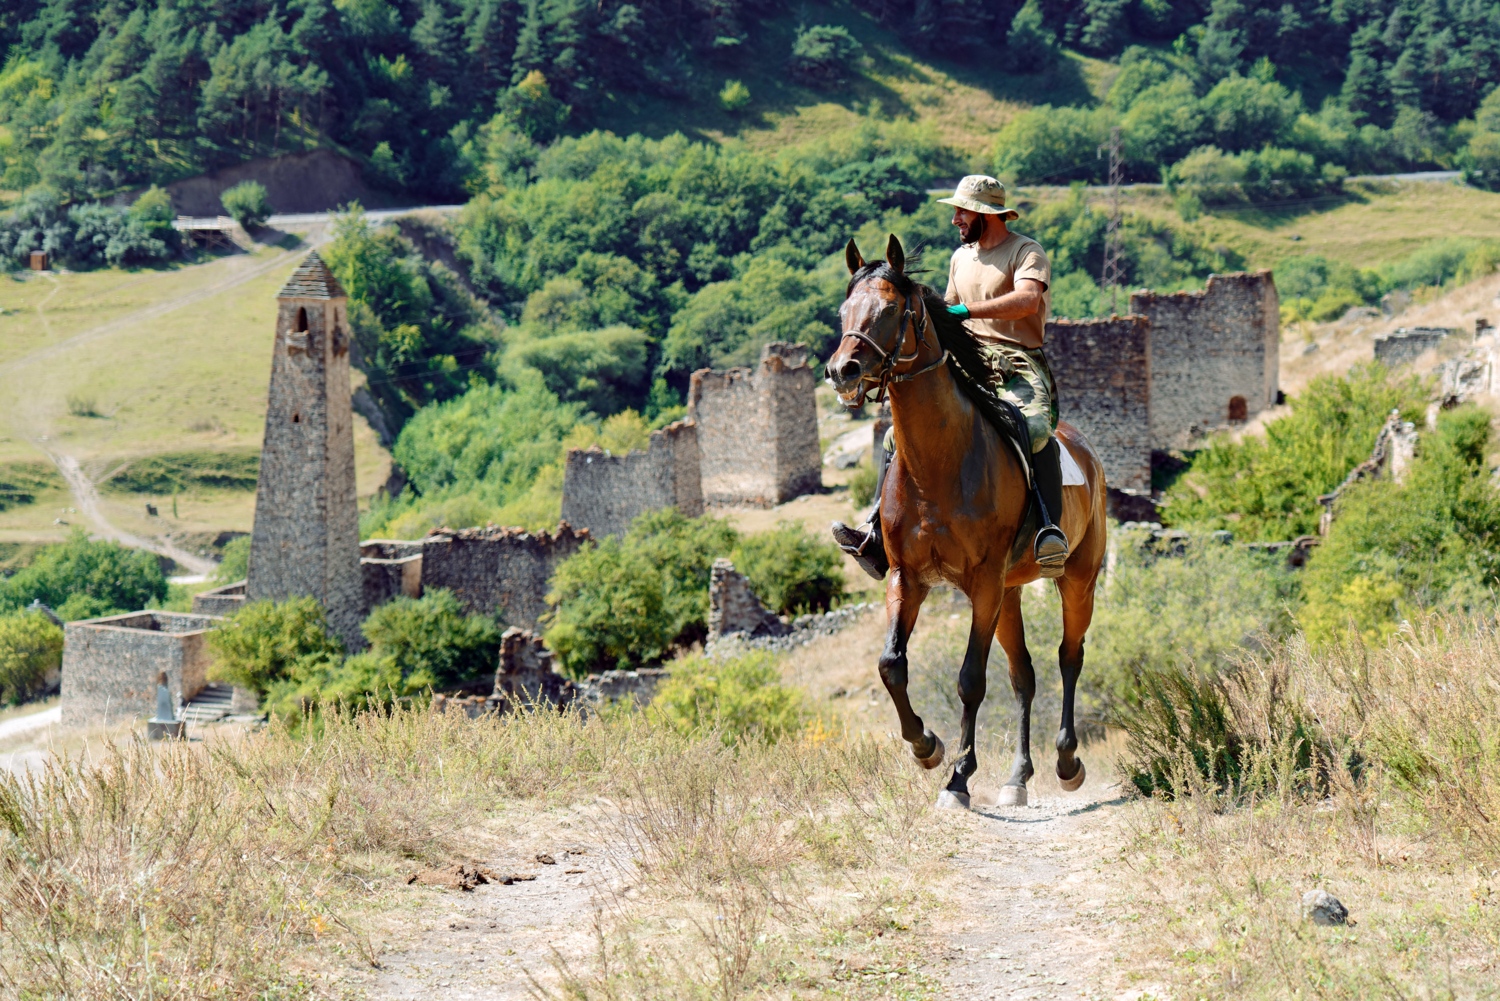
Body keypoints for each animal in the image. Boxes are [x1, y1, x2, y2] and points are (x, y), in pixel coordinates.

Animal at [828, 237, 1110, 816]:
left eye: (888, 309)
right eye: (844, 311)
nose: (842, 370)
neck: (938, 462)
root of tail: (1086, 452)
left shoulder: (981, 584)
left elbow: (970, 680)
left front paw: (958, 777)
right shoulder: (907, 578)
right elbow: (891, 664)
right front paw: (926, 747)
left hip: (1075, 580)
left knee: (1069, 657)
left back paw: (1067, 762)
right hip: (1010, 593)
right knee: (1024, 676)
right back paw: (1018, 777)